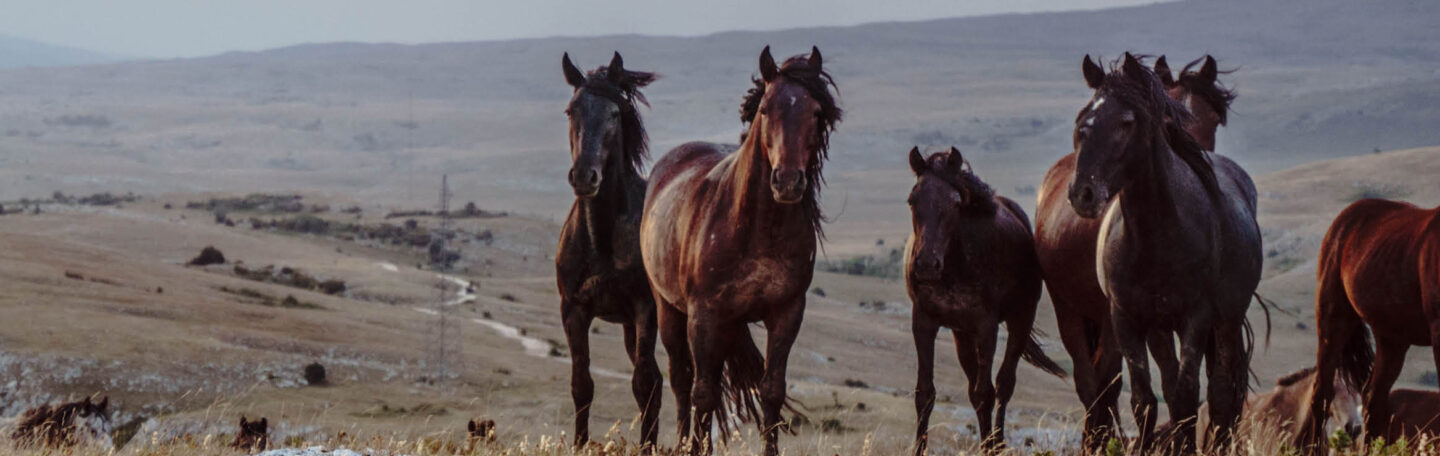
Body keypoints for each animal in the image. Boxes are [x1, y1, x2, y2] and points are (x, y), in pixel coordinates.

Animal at [555, 50, 662, 448]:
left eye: (615, 113)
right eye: (571, 110)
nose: (585, 176)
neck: (601, 240)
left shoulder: (646, 309)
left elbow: (643, 383)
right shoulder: (574, 310)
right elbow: (581, 385)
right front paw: (579, 444)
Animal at [636, 45, 840, 454]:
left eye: (815, 112)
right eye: (766, 109)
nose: (788, 182)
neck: (757, 230)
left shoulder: (787, 312)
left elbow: (772, 390)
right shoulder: (704, 316)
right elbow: (702, 393)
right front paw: (696, 448)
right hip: (669, 310)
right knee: (683, 380)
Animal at [898, 147, 1071, 451]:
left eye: (955, 203)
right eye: (912, 199)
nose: (927, 265)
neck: (955, 263)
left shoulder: (986, 327)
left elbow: (985, 392)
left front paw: (990, 446)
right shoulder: (924, 323)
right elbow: (925, 393)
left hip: (1019, 320)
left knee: (1003, 384)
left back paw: (997, 444)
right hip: (962, 334)